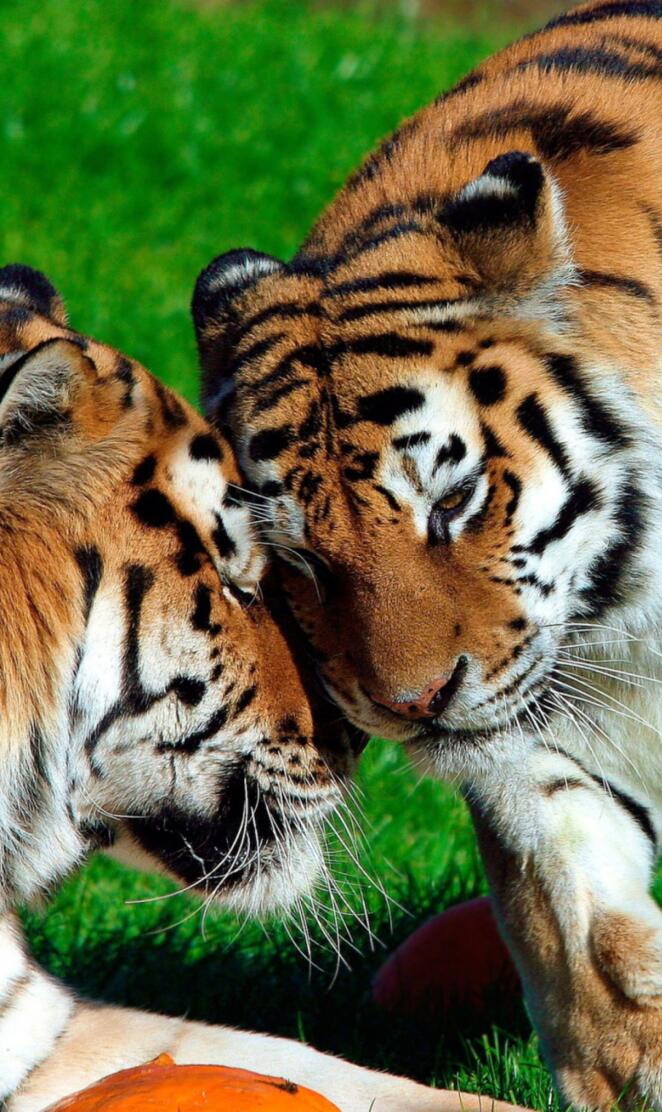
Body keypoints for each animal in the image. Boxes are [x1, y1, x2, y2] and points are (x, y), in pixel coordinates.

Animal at [192, 2, 662, 1108]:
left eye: (452, 500)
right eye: (295, 558)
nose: (410, 706)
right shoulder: (550, 735)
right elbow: (581, 920)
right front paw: (626, 1054)